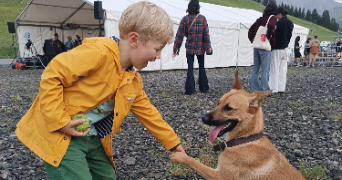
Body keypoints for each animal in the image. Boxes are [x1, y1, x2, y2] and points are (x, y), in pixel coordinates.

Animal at [170, 70, 304, 180]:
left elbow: (194, 162)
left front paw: (179, 157)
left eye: (229, 108)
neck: (245, 138)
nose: (203, 118)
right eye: (218, 103)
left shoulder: (220, 176)